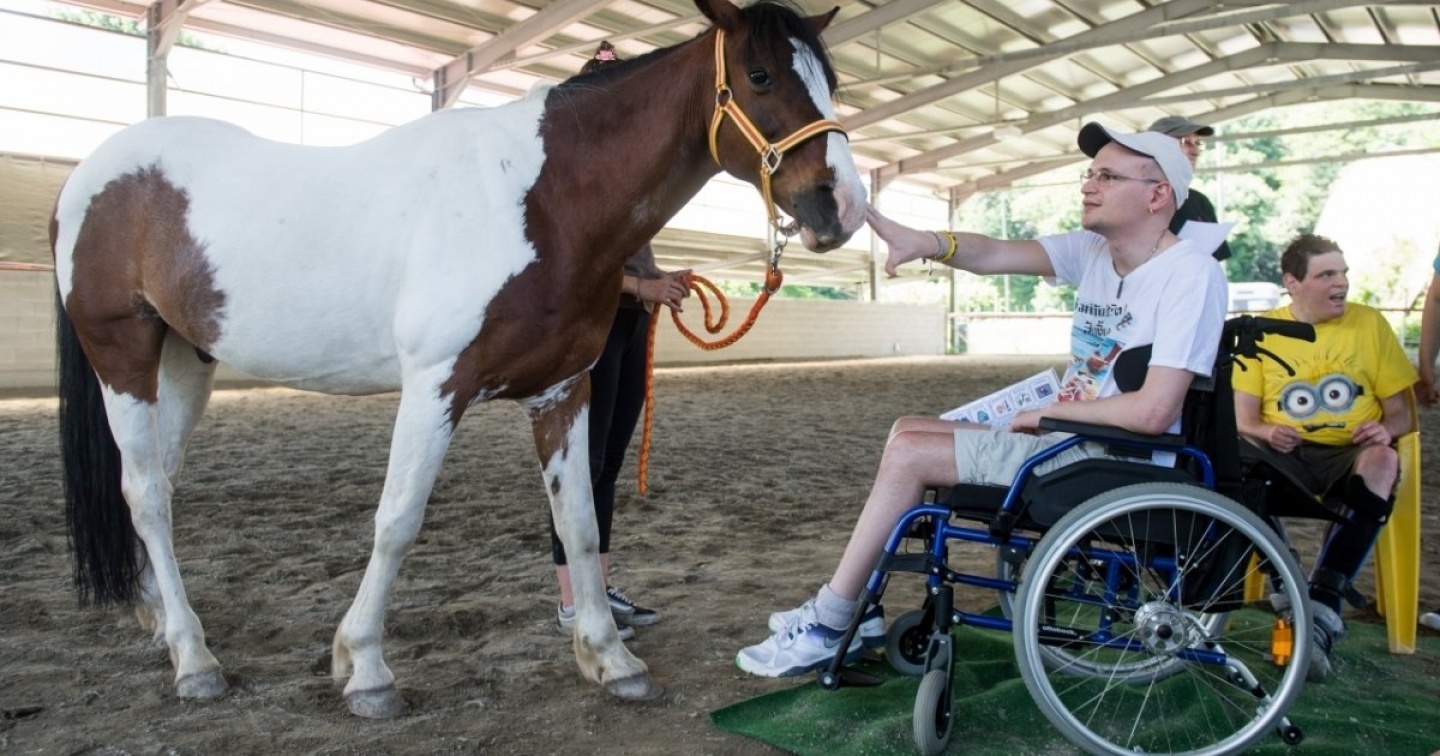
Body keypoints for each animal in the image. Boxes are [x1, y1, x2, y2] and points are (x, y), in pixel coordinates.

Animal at [50, 0, 866, 719]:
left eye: (831, 80)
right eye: (760, 75)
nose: (843, 207)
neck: (541, 200)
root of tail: (90, 174)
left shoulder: (563, 390)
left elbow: (580, 524)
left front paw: (611, 660)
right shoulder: (435, 388)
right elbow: (398, 520)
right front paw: (365, 668)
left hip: (187, 360)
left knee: (158, 483)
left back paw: (164, 624)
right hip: (122, 353)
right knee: (146, 494)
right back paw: (195, 660)